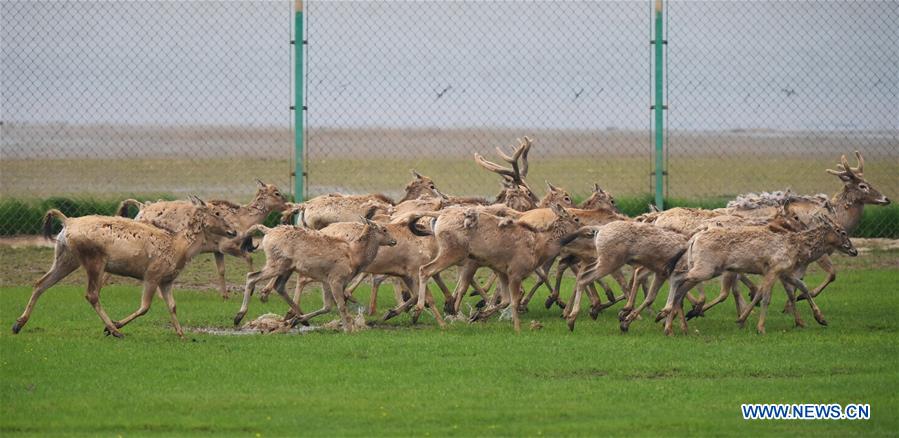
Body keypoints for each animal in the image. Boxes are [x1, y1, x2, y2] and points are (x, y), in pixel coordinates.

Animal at [12, 196, 237, 338]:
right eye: (217, 213)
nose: (233, 231)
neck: (178, 248)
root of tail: (67, 222)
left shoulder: (167, 280)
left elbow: (172, 306)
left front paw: (182, 334)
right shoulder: (152, 273)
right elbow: (145, 307)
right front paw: (114, 326)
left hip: (66, 257)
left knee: (41, 283)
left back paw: (17, 324)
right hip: (94, 259)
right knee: (91, 294)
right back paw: (115, 330)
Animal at [117, 180, 288, 299]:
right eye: (276, 193)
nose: (287, 205)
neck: (243, 220)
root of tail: (141, 208)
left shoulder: (217, 250)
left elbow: (221, 270)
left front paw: (225, 295)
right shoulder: (227, 245)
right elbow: (249, 257)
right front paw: (252, 290)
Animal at [233, 218, 397, 332]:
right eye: (384, 229)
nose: (394, 241)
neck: (354, 257)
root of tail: (267, 231)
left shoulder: (326, 280)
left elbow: (327, 307)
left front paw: (296, 320)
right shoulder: (336, 278)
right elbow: (341, 306)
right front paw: (348, 329)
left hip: (287, 267)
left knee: (279, 286)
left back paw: (299, 318)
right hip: (277, 263)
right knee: (251, 276)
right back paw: (238, 316)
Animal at [661, 213, 857, 336]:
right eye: (842, 232)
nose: (854, 250)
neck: (795, 248)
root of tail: (693, 239)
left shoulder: (784, 272)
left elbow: (802, 287)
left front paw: (820, 319)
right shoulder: (773, 268)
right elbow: (766, 298)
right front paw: (760, 328)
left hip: (705, 268)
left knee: (681, 288)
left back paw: (671, 325)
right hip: (706, 268)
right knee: (676, 277)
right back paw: (667, 313)